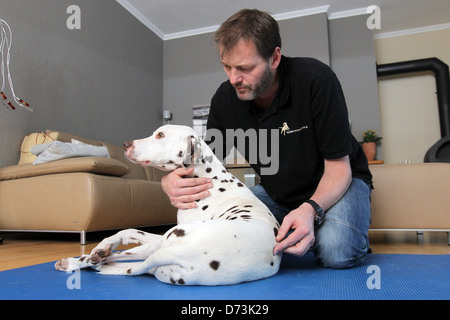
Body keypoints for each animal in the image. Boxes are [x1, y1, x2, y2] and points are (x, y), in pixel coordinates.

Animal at [55, 124, 282, 284]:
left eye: (161, 135)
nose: (126, 144)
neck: (210, 178)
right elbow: (128, 232)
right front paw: (104, 245)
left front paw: (99, 249)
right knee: (125, 265)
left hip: (161, 243)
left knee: (121, 262)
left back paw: (82, 262)